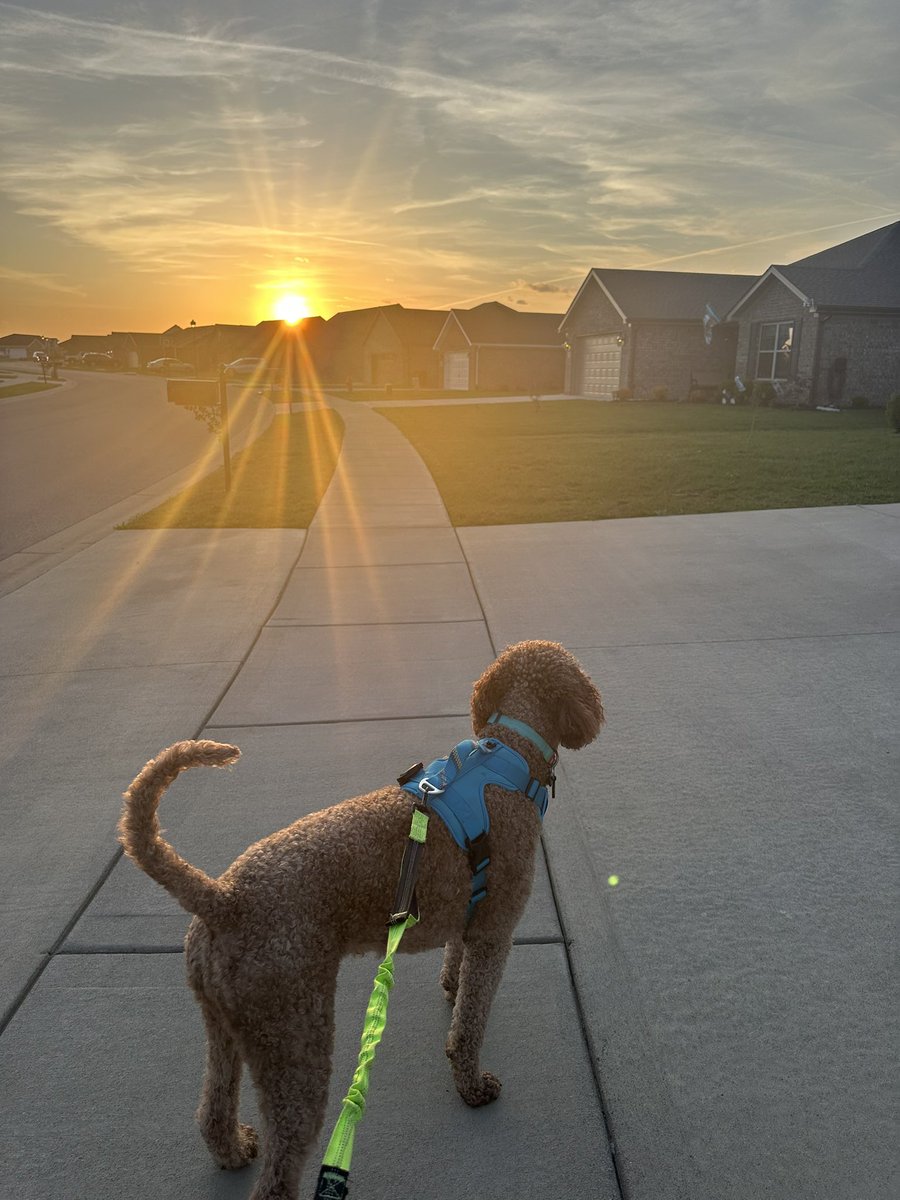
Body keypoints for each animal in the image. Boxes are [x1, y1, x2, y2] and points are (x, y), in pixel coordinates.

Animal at [116, 643, 602, 1200]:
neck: (511, 752)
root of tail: (222, 897)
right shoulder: (495, 931)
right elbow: (469, 1025)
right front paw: (472, 1086)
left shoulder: (469, 914)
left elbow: (456, 968)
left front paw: (451, 987)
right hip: (294, 1035)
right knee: (280, 1166)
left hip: (227, 1023)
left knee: (212, 1110)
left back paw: (233, 1148)